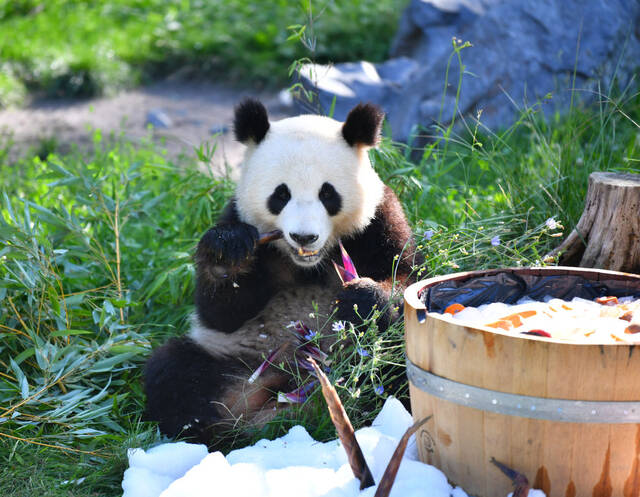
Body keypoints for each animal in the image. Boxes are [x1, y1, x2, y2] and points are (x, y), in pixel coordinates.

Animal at [142, 98, 418, 446]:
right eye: (281, 194)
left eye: (327, 193)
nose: (304, 237)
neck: (309, 263)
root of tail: (293, 382)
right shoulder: (238, 216)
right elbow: (221, 314)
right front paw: (227, 252)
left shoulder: (378, 220)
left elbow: (405, 278)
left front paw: (361, 297)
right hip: (241, 358)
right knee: (174, 373)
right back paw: (223, 428)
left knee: (391, 359)